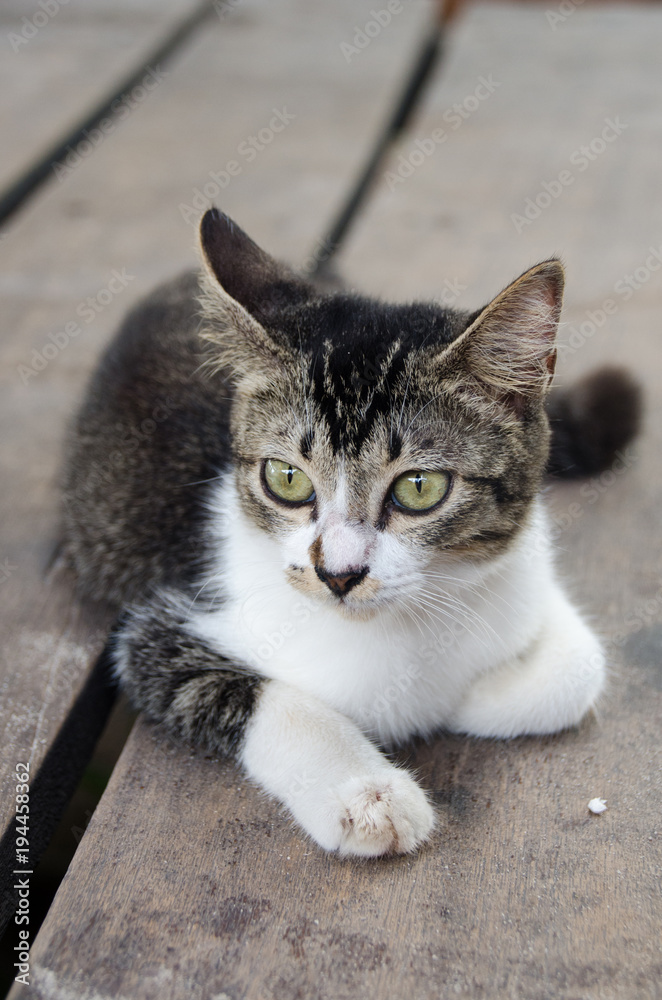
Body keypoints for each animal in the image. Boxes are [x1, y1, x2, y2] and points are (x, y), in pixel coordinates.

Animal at [62, 207, 644, 856]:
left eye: (419, 487)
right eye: (286, 478)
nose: (338, 573)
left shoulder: (523, 564)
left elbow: (579, 669)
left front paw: (464, 698)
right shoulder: (153, 627)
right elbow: (256, 694)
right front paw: (367, 794)